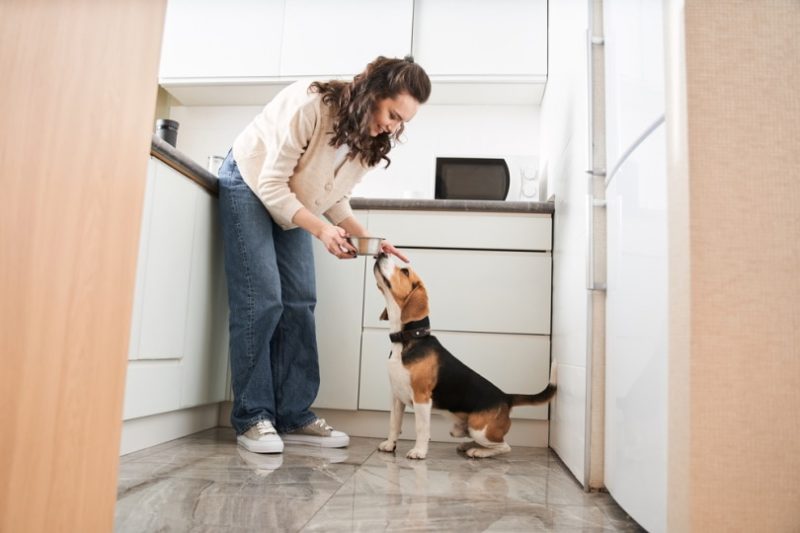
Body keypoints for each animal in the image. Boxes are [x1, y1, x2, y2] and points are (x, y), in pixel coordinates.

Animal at [374, 254, 556, 458]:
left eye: (405, 271)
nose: (381, 254)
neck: (407, 339)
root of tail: (506, 397)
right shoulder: (396, 396)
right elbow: (394, 424)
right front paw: (390, 445)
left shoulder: (421, 398)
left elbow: (421, 429)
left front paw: (419, 452)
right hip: (464, 429)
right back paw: (468, 446)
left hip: (479, 429)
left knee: (504, 447)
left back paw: (478, 452)